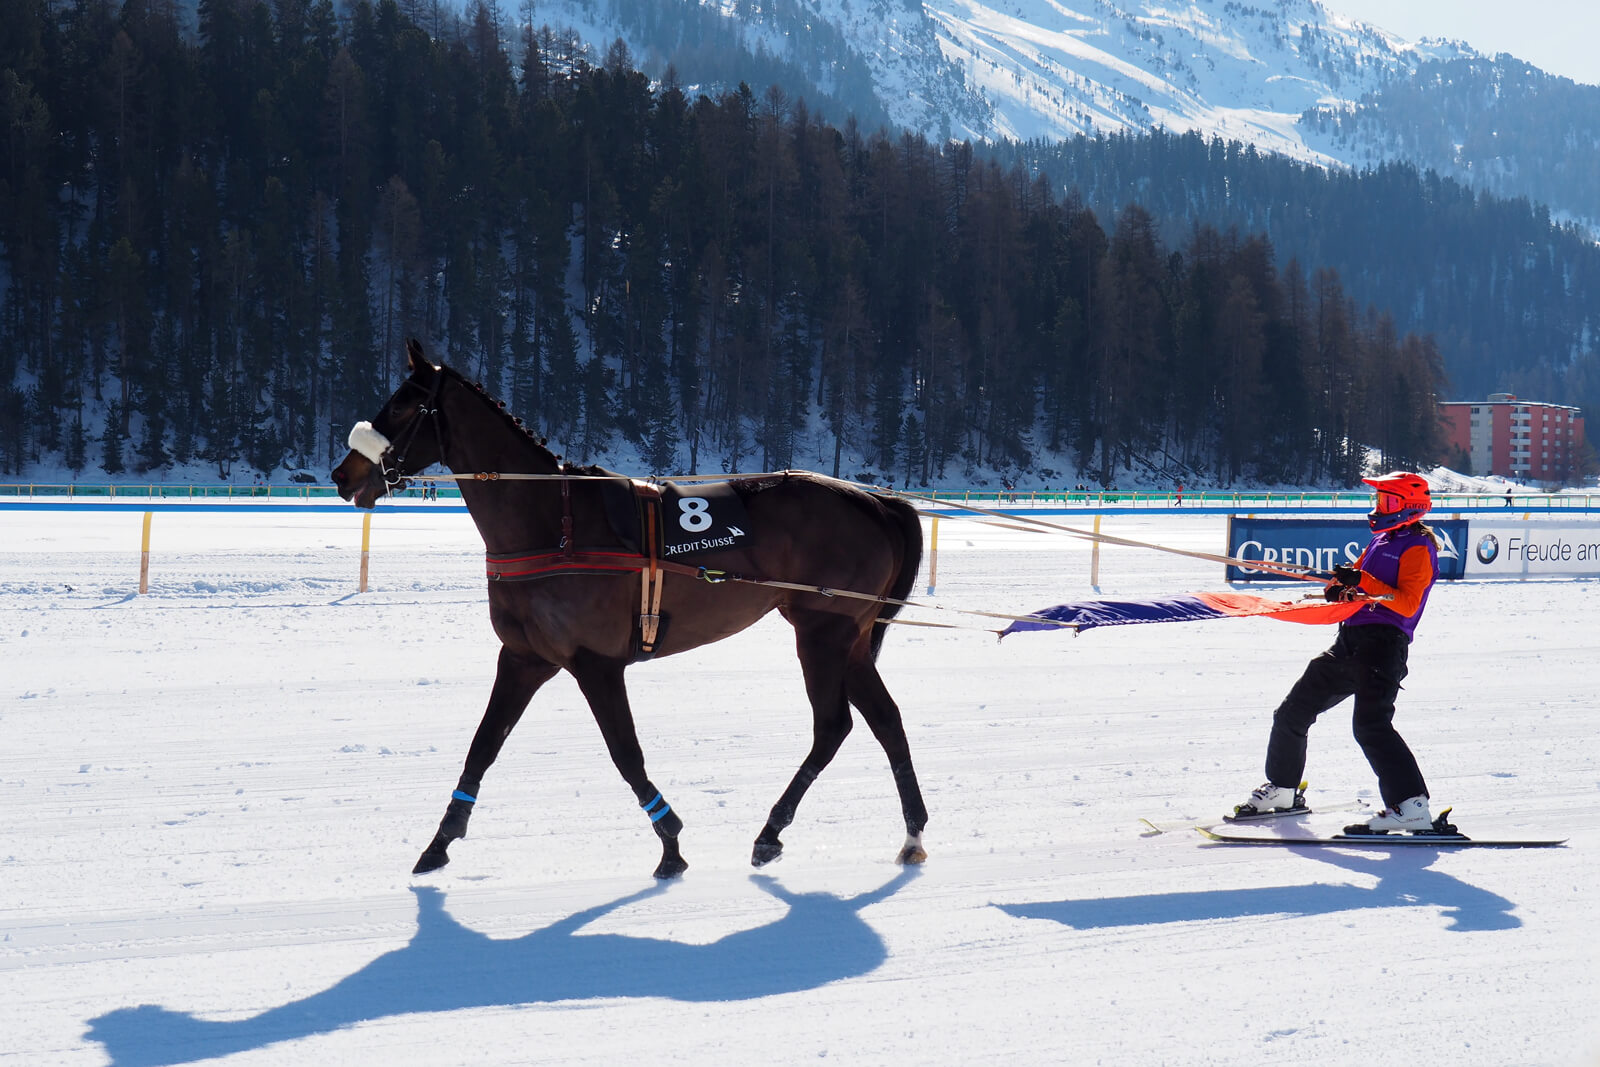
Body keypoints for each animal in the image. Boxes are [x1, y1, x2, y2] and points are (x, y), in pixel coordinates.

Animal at [328, 340, 928, 876]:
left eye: (402, 404)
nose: (342, 474)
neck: (554, 524)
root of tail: (878, 502)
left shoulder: (595, 663)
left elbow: (624, 753)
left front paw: (670, 843)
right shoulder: (523, 658)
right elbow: (483, 746)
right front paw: (439, 843)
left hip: (822, 631)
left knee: (832, 726)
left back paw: (771, 831)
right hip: (851, 637)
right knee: (886, 720)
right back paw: (912, 836)